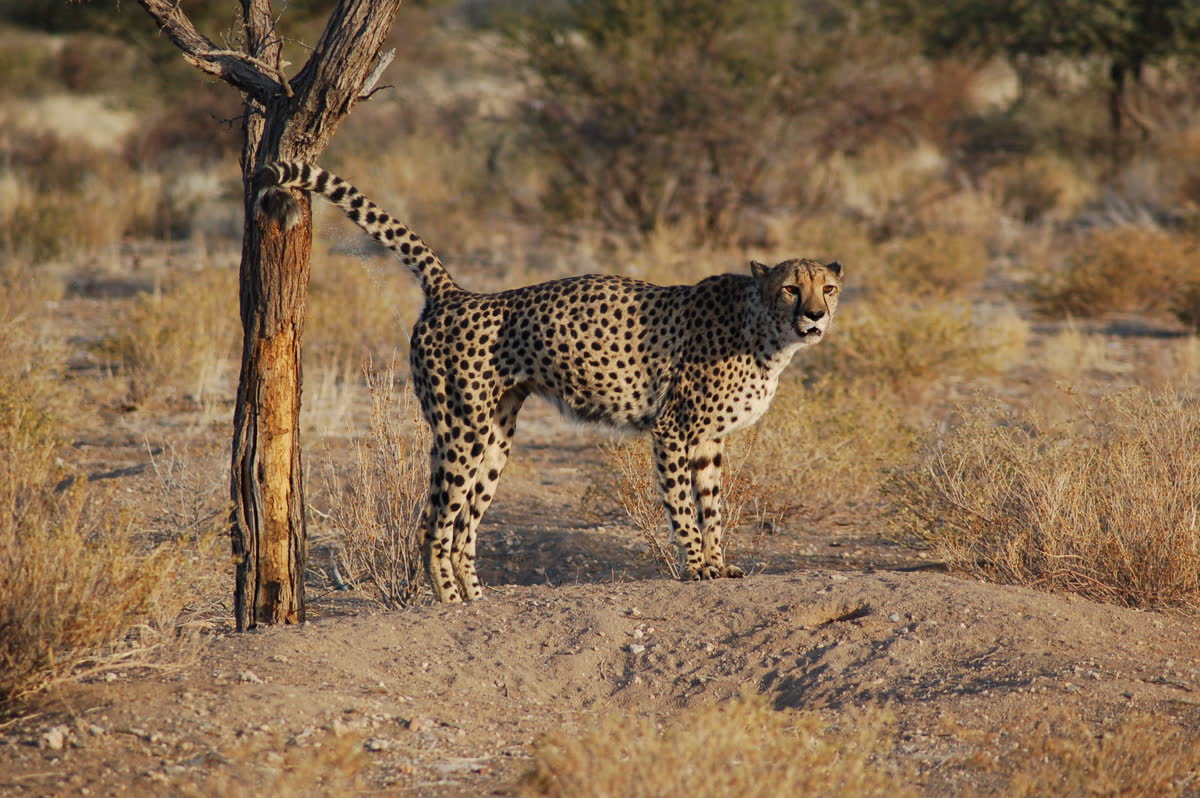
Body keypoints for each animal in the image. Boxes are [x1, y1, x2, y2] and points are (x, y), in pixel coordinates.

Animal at [253, 161, 844, 603]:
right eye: (791, 288)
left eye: (829, 287)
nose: (815, 316)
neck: (763, 329)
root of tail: (456, 293)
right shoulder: (674, 430)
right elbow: (682, 506)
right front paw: (696, 567)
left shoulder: (707, 439)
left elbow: (712, 505)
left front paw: (720, 565)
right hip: (461, 430)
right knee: (435, 524)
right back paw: (448, 600)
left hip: (495, 436)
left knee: (462, 525)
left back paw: (476, 598)